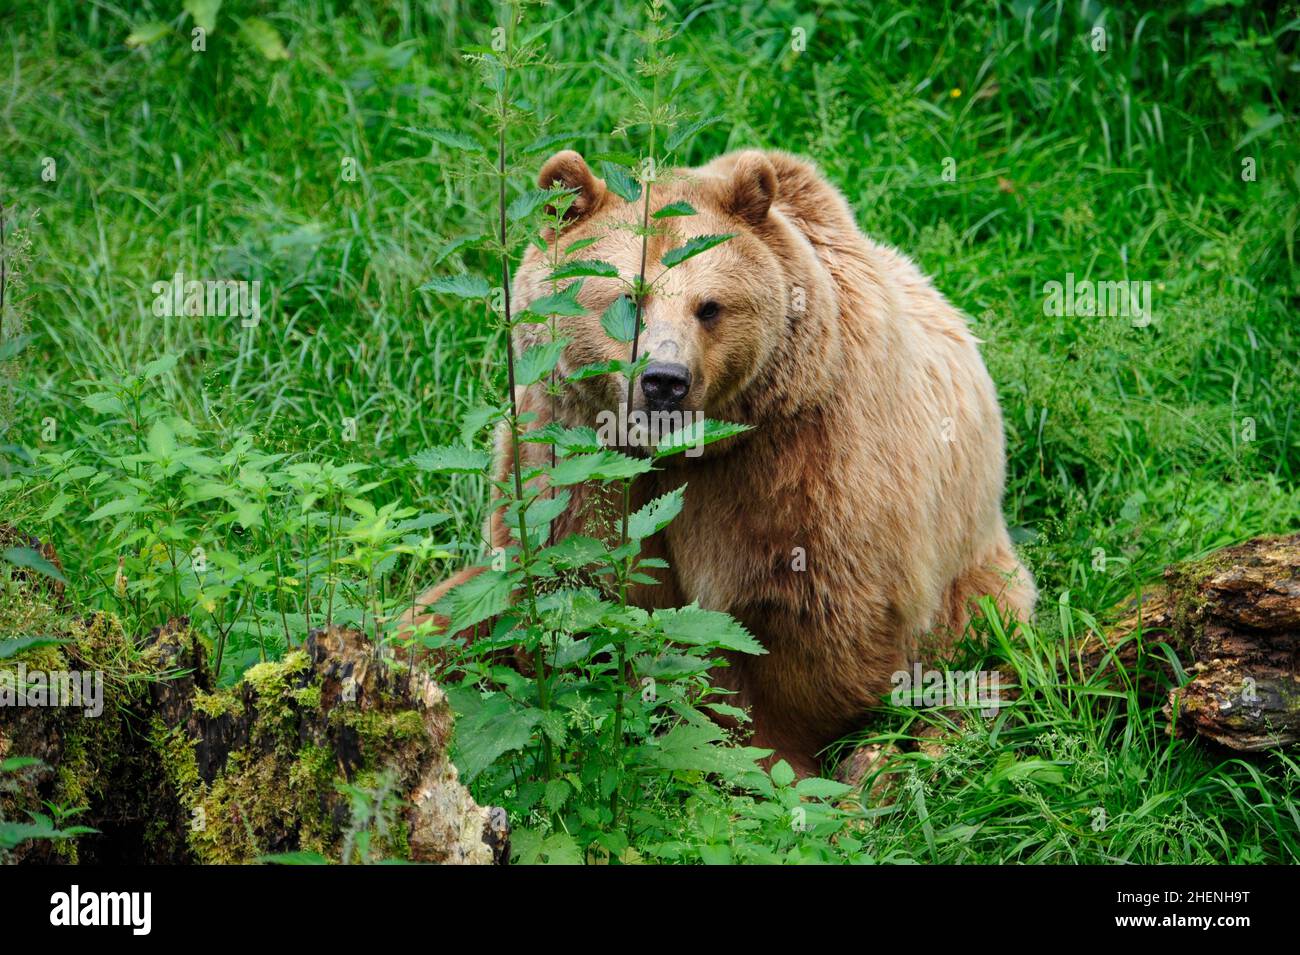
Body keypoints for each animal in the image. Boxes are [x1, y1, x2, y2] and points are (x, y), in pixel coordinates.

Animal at [409, 148, 1036, 777]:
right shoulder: (569, 456)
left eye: (709, 307)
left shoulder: (796, 462)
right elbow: (552, 584)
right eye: (627, 298)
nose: (665, 381)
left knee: (980, 657)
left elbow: (805, 623)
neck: (682, 453)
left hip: (972, 570)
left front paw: (770, 757)